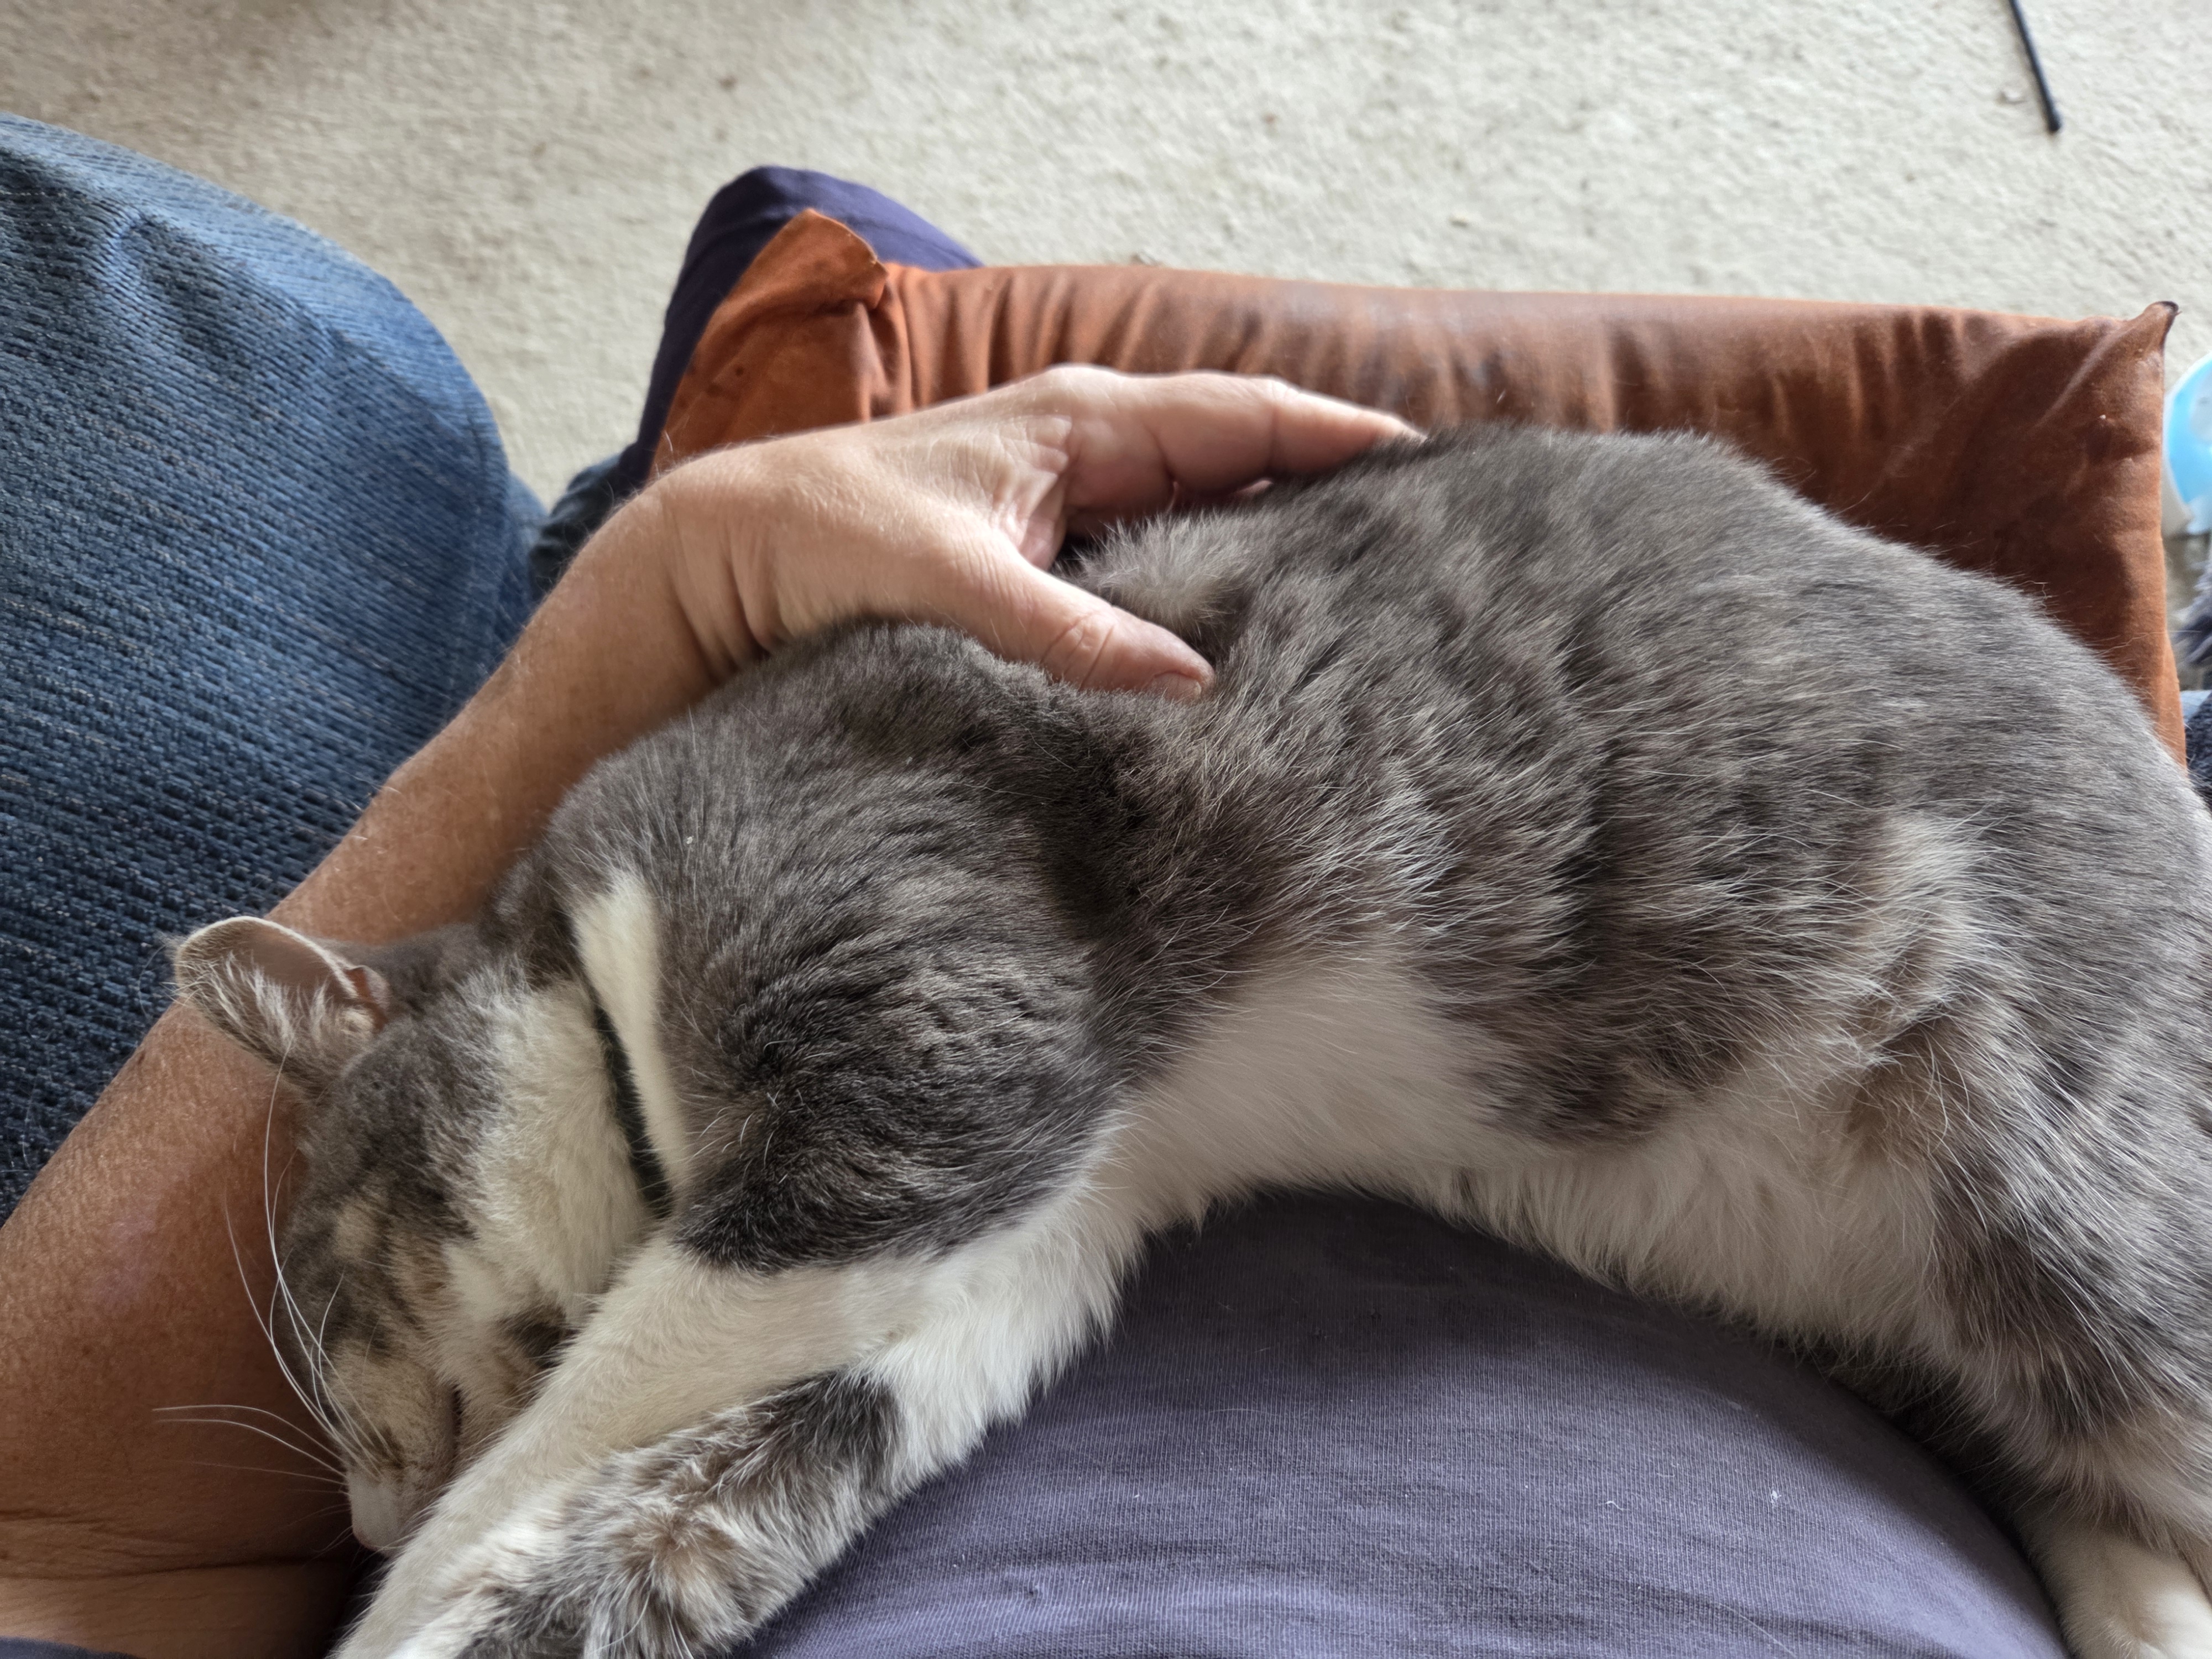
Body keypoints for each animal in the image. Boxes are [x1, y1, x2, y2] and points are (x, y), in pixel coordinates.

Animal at [173, 424, 2212, 1659]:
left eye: (329, 1291)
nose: (350, 1509)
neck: (614, 978)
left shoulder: (924, 1040)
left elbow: (590, 1402)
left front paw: (404, 1585)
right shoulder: (1016, 1237)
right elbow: (728, 1481)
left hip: (2072, 1200)